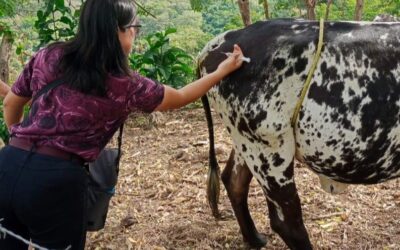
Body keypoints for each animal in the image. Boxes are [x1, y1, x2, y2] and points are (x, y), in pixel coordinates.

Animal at [198, 18, 400, 250]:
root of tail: (220, 42)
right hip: (269, 150)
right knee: (286, 220)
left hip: (245, 139)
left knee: (234, 181)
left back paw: (254, 239)